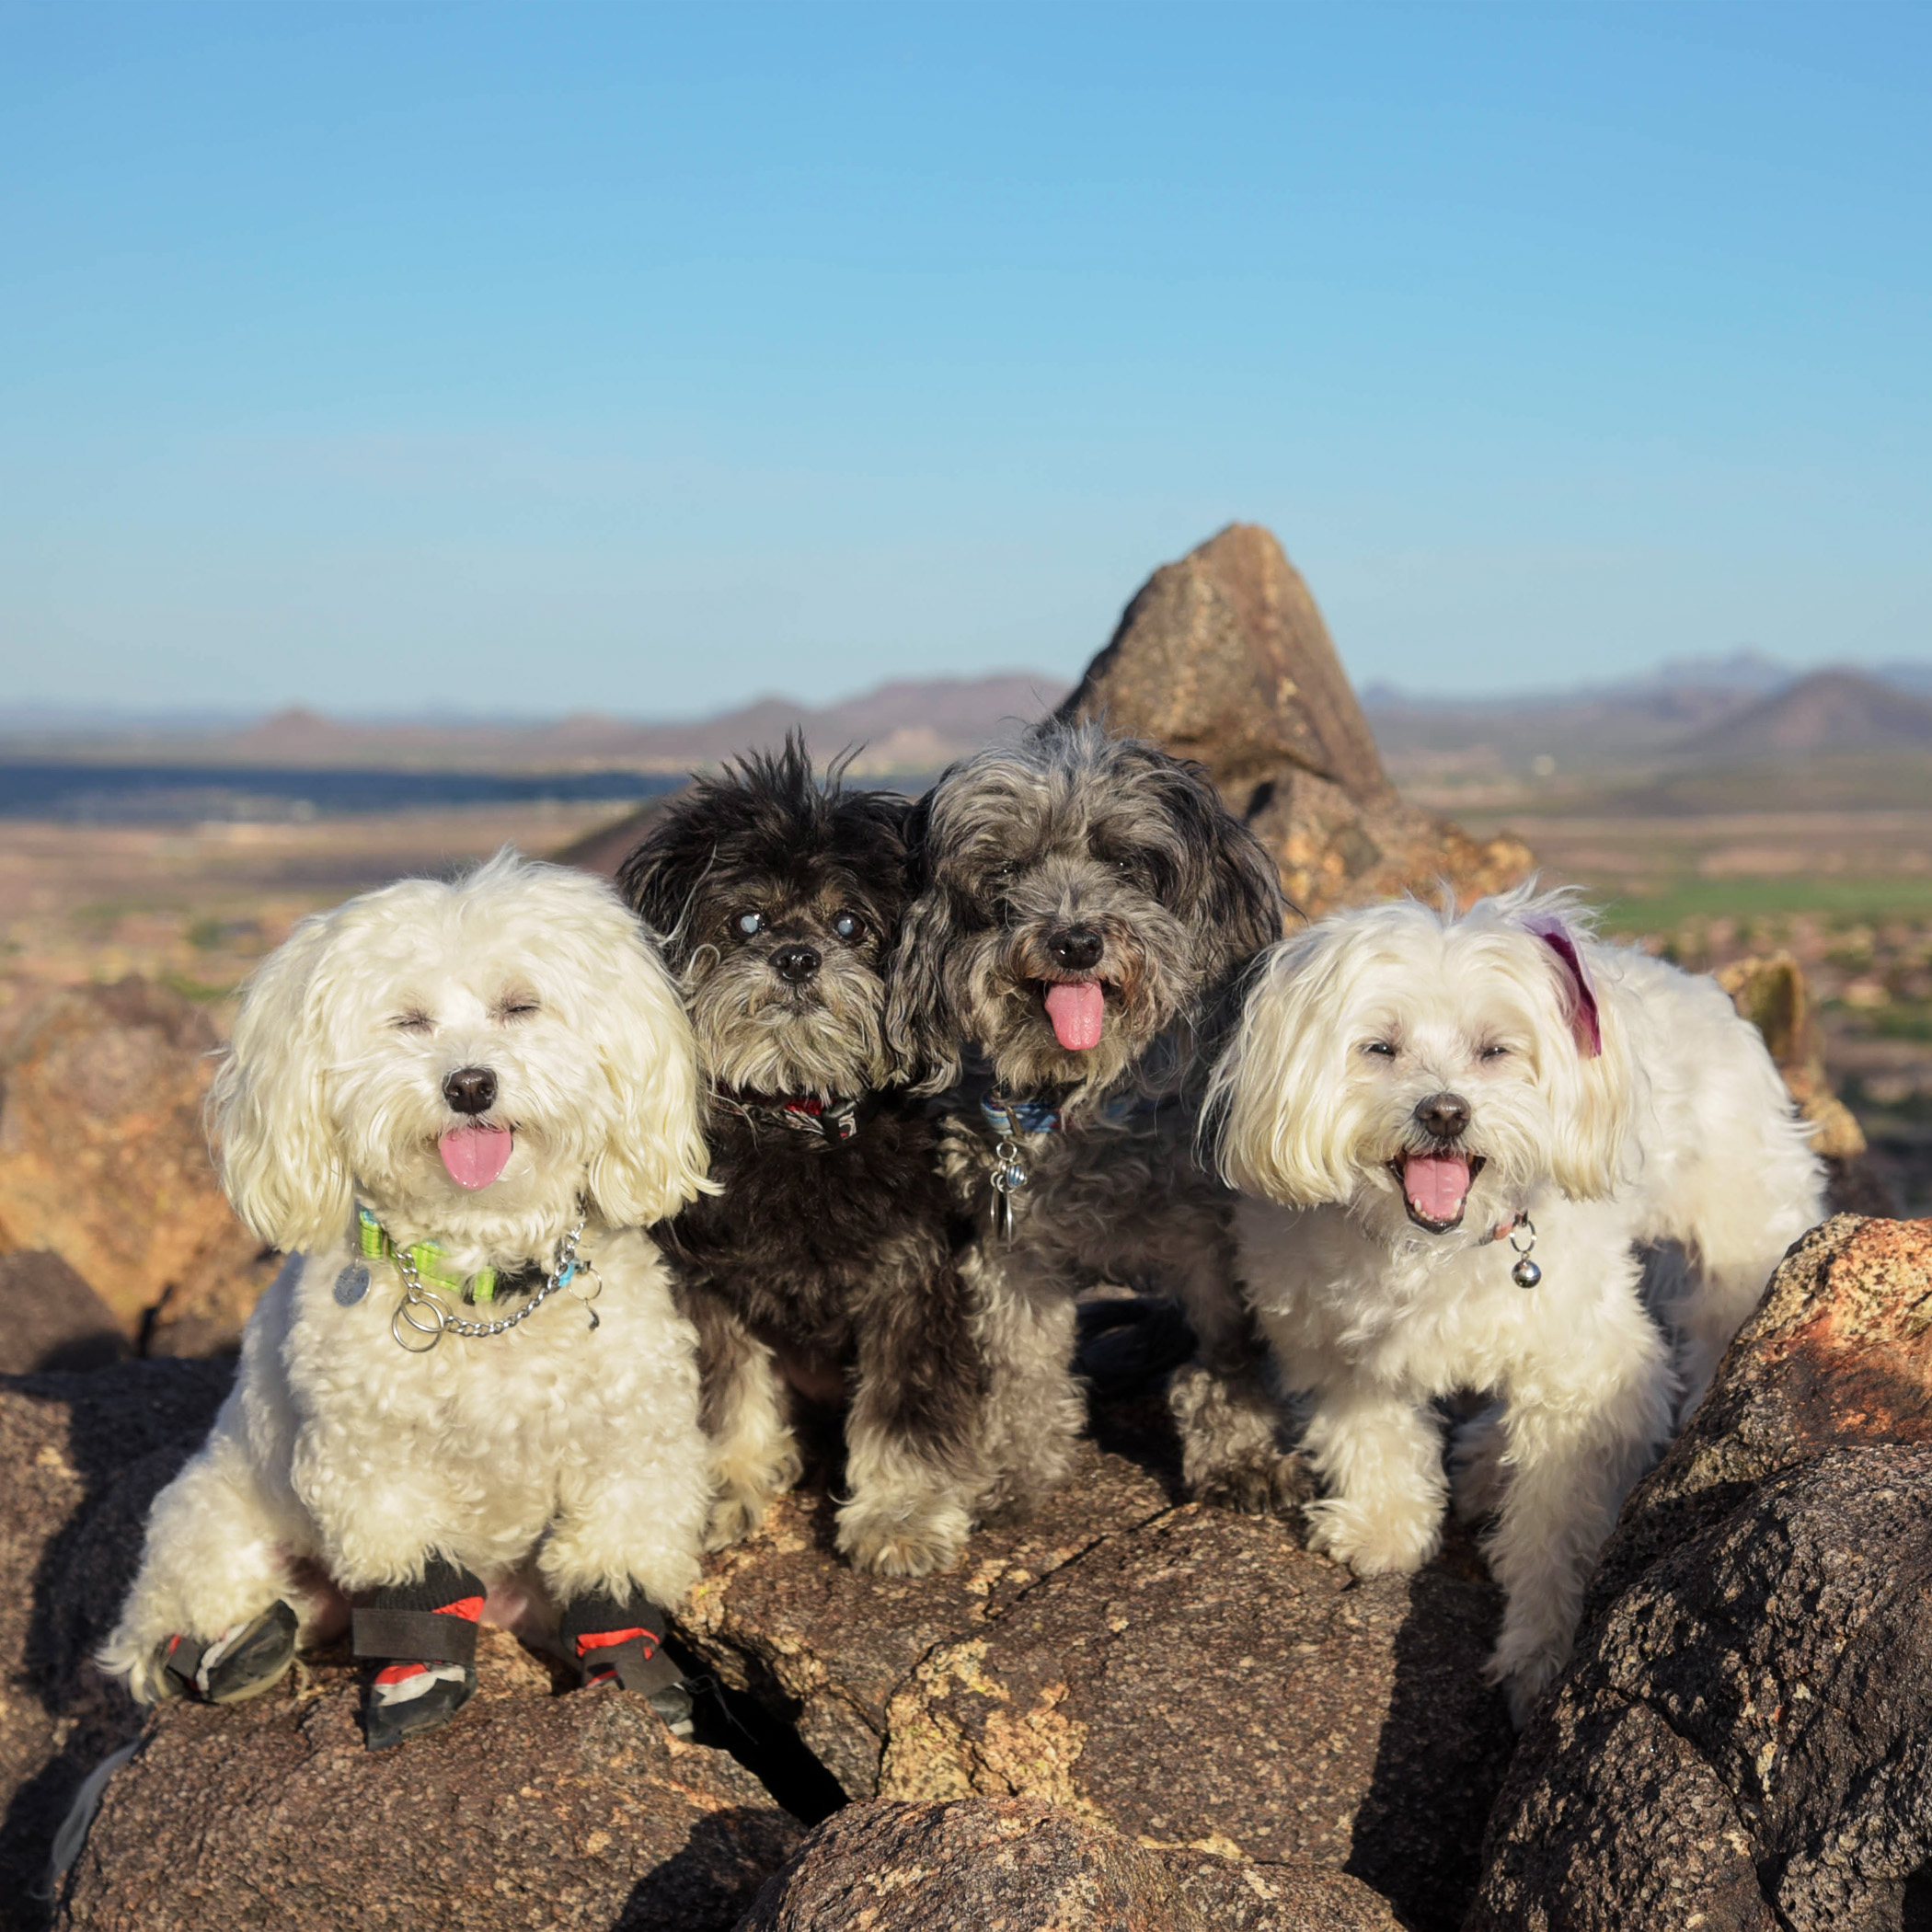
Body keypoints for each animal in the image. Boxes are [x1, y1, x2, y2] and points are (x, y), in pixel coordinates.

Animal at [101, 857, 719, 1754]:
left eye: (519, 1006)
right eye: (408, 1021)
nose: (470, 1084)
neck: (482, 1283)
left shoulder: (634, 1449)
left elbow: (616, 1560)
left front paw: (632, 1669)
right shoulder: (373, 1468)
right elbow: (414, 1578)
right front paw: (417, 1680)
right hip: (207, 1517)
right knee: (177, 1614)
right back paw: (233, 1647)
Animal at [614, 733, 981, 1569]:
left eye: (849, 925)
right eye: (748, 920)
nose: (797, 958)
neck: (799, 1120)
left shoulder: (913, 1279)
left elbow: (905, 1408)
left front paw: (902, 1515)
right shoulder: (705, 1288)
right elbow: (726, 1399)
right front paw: (722, 1489)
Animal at [888, 719, 1298, 1514]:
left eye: (1126, 863)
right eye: (1007, 870)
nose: (1075, 942)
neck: (1082, 1096)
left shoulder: (1221, 1247)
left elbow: (1229, 1355)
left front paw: (1239, 1456)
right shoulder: (1011, 1251)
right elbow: (1022, 1365)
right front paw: (1012, 1467)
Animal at [1205, 884, 1823, 1723]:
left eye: (1495, 1051)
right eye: (1380, 1048)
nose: (1444, 1112)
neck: (1435, 1246)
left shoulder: (1583, 1378)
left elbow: (1555, 1523)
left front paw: (1540, 1648)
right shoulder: (1336, 1343)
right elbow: (1369, 1432)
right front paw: (1385, 1525)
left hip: (1740, 1234)